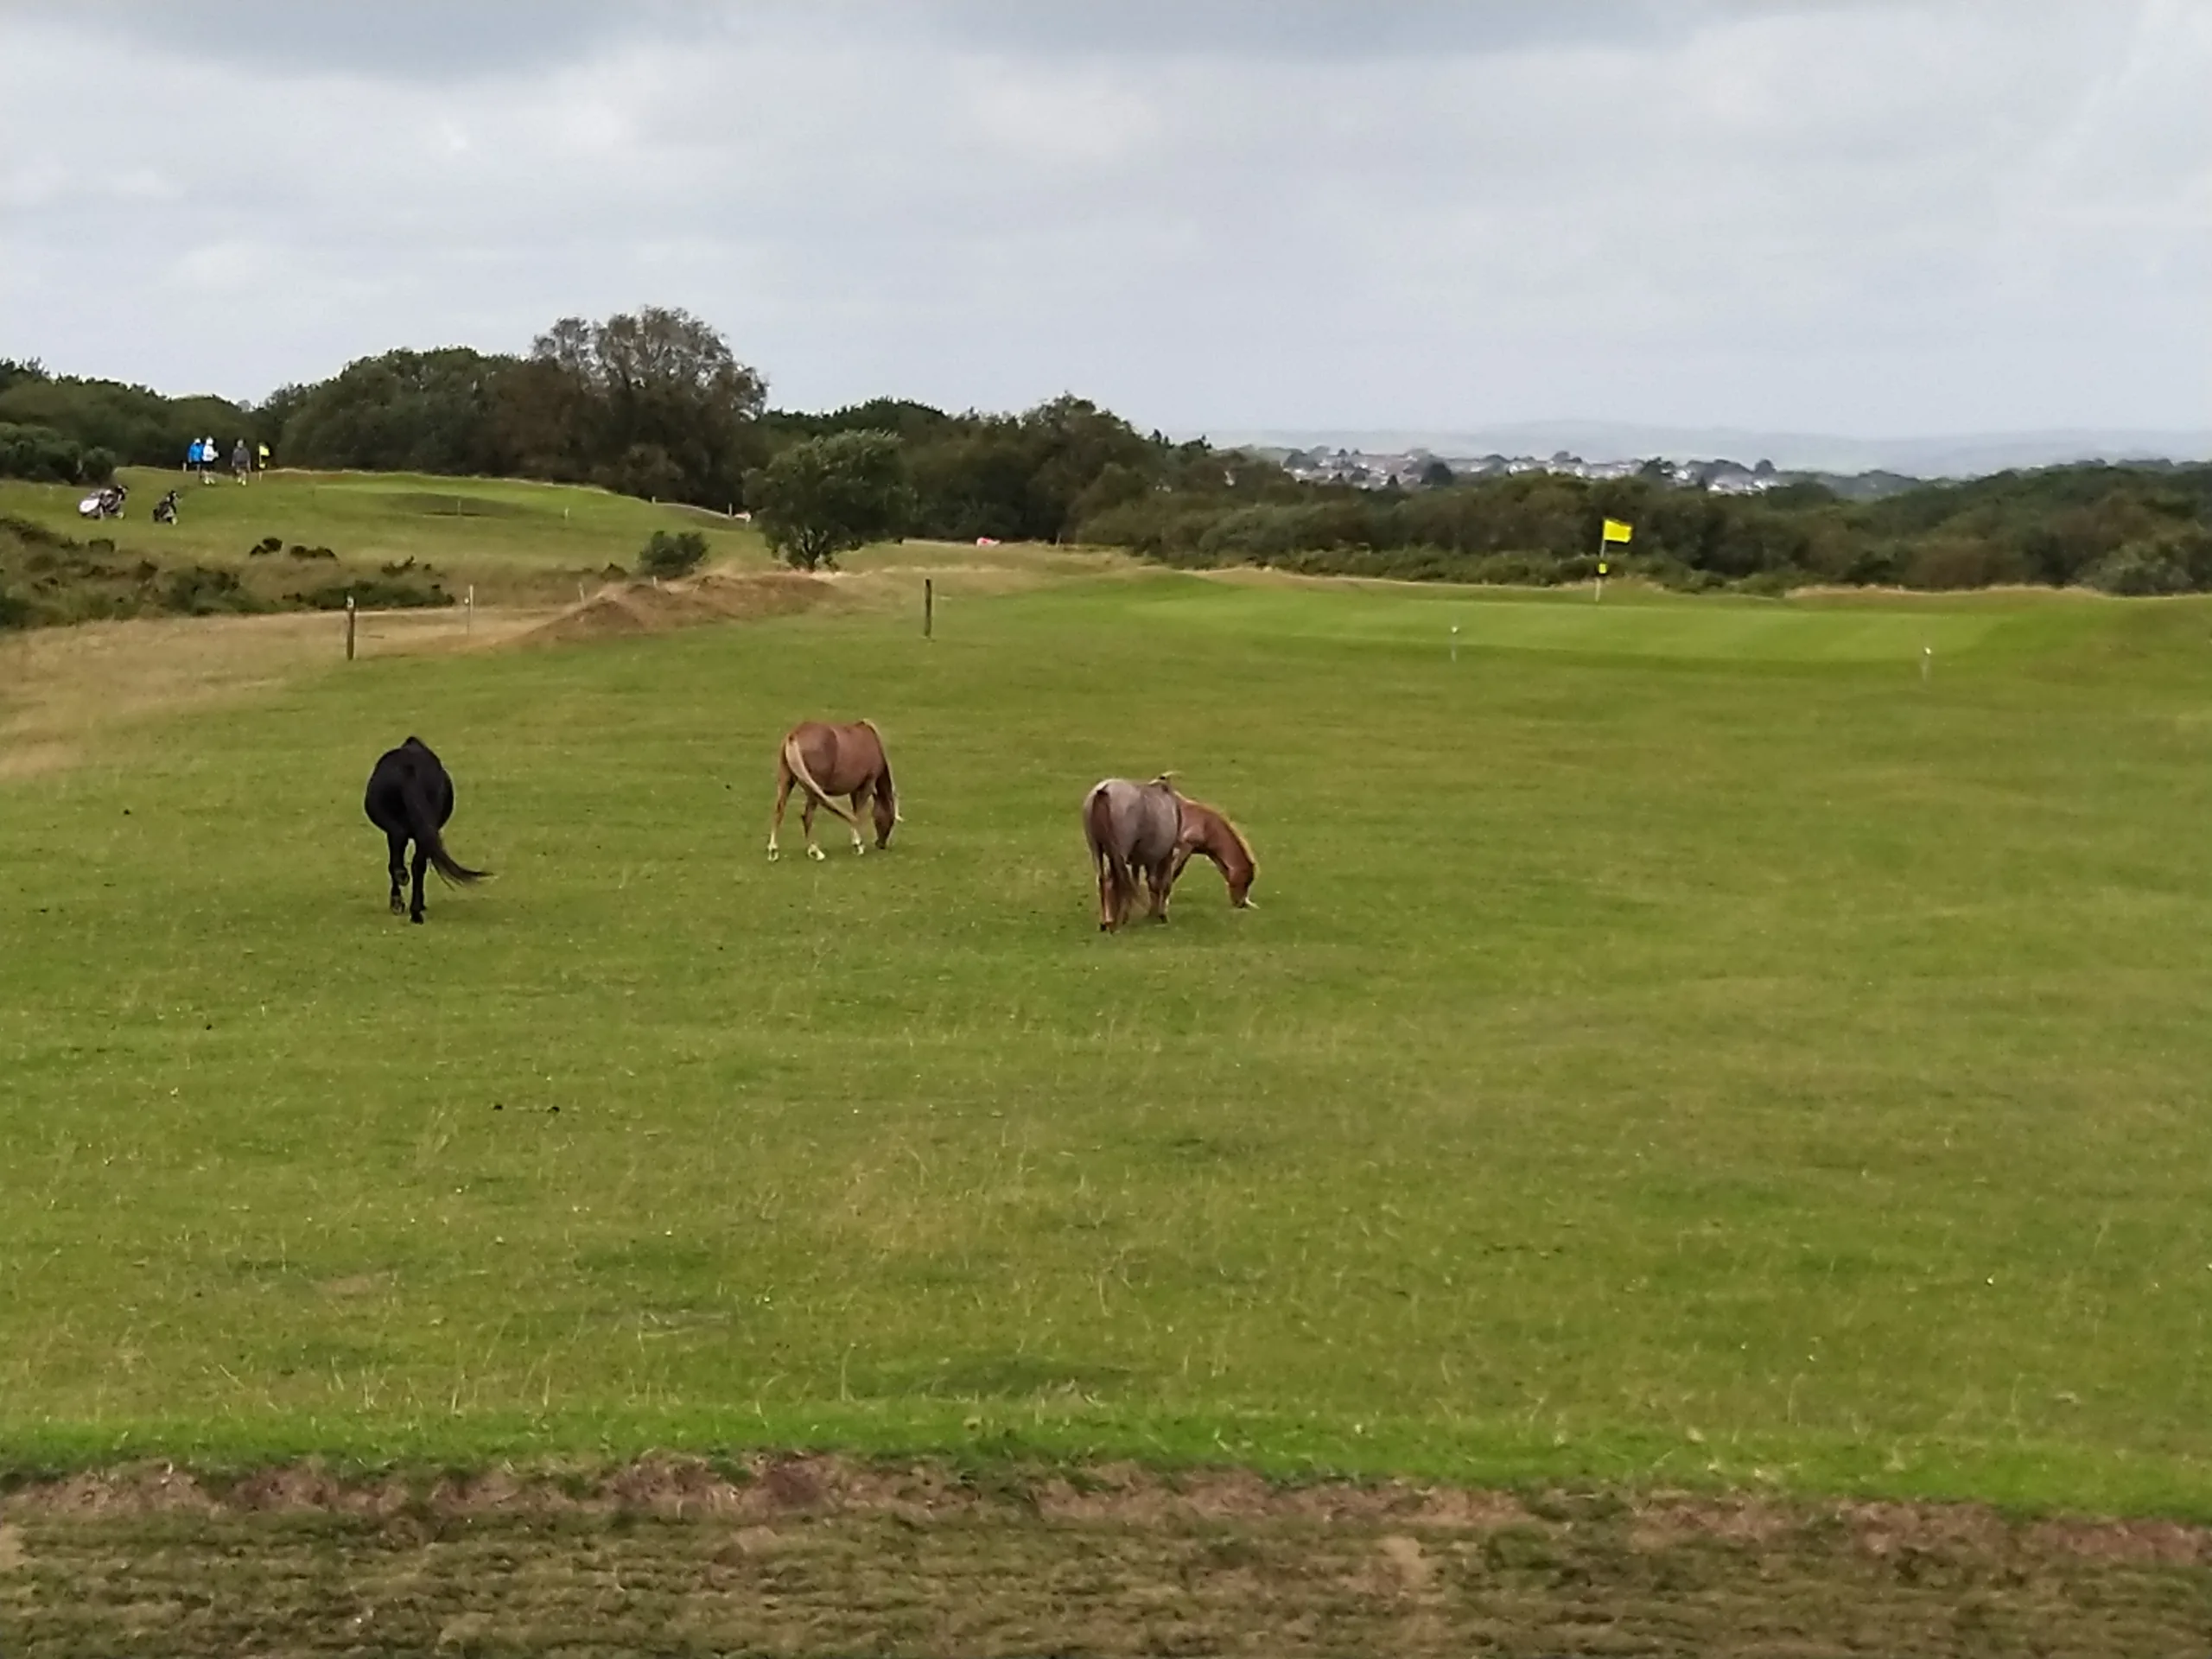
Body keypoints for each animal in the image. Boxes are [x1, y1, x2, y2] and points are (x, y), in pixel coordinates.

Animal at [765, 721, 893, 862]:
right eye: (892, 819)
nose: (881, 844)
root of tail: (794, 735)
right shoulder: (868, 784)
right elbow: (857, 814)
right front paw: (858, 845)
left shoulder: (854, 790)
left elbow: (855, 811)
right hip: (814, 788)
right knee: (807, 817)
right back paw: (816, 852)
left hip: (786, 781)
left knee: (779, 811)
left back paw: (773, 850)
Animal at [1084, 779, 1265, 938]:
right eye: (1246, 881)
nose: (1241, 904)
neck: (1205, 824)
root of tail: (1103, 792)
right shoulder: (1182, 848)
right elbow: (1169, 876)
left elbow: (1146, 881)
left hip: (1099, 851)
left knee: (1104, 880)